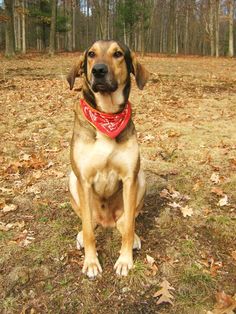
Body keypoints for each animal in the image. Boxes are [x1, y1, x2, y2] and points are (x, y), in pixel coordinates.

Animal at [66, 39, 149, 278]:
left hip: (141, 178)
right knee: (89, 223)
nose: (99, 71)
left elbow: (129, 227)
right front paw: (91, 262)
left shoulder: (130, 178)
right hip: (72, 180)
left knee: (126, 221)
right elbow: (88, 231)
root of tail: (107, 222)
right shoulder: (83, 180)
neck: (108, 115)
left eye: (118, 54)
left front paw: (125, 260)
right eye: (91, 54)